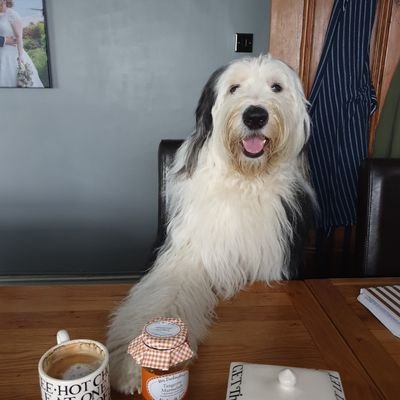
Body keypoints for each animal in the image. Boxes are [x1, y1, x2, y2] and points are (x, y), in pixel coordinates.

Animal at [106, 54, 316, 394]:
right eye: (234, 88)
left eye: (276, 87)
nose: (255, 115)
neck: (245, 179)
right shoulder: (186, 255)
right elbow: (161, 304)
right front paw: (133, 364)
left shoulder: (272, 261)